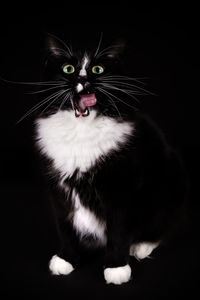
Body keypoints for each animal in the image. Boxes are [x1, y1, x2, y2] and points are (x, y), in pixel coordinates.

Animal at [31, 34, 188, 284]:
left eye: (98, 69)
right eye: (68, 69)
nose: (83, 79)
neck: (80, 132)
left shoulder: (120, 191)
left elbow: (118, 232)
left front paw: (116, 267)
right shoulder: (59, 192)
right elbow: (66, 229)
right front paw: (66, 259)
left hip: (171, 183)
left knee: (163, 228)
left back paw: (140, 247)